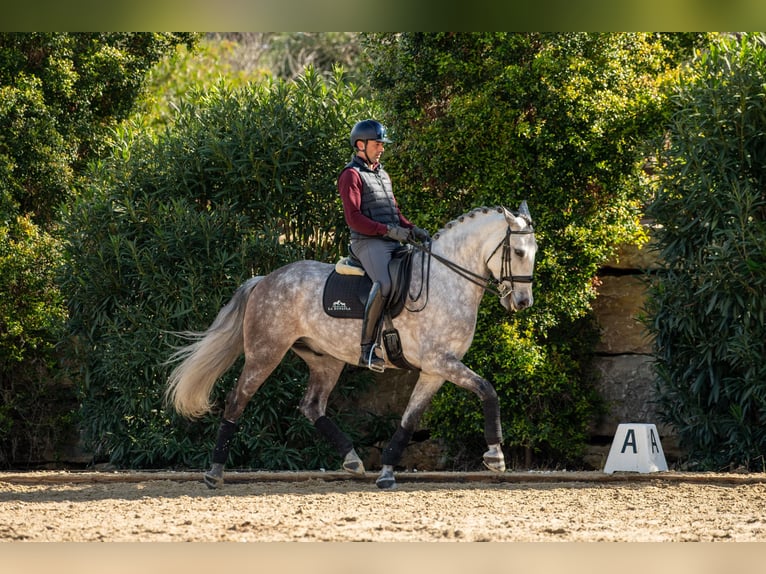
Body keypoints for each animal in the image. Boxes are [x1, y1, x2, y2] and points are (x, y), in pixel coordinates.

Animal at [166, 202, 540, 490]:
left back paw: (353, 460)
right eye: (518, 252)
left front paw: (387, 471)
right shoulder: (441, 362)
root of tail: (265, 279)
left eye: (534, 254)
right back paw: (214, 473)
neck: (446, 281)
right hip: (265, 353)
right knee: (237, 400)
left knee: (312, 406)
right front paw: (495, 456)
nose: (522, 302)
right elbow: (488, 389)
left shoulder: (435, 370)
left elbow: (409, 419)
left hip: (325, 360)